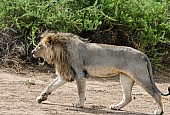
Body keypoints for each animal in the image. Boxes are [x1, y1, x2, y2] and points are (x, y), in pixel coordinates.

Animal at [31, 31, 169, 115]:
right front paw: (41, 97)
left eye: (39, 46)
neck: (60, 52)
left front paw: (79, 105)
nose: (32, 52)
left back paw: (159, 111)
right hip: (125, 77)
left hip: (141, 76)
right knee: (128, 97)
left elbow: (81, 91)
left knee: (156, 94)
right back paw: (116, 107)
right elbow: (50, 85)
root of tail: (143, 54)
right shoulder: (66, 74)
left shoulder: (80, 73)